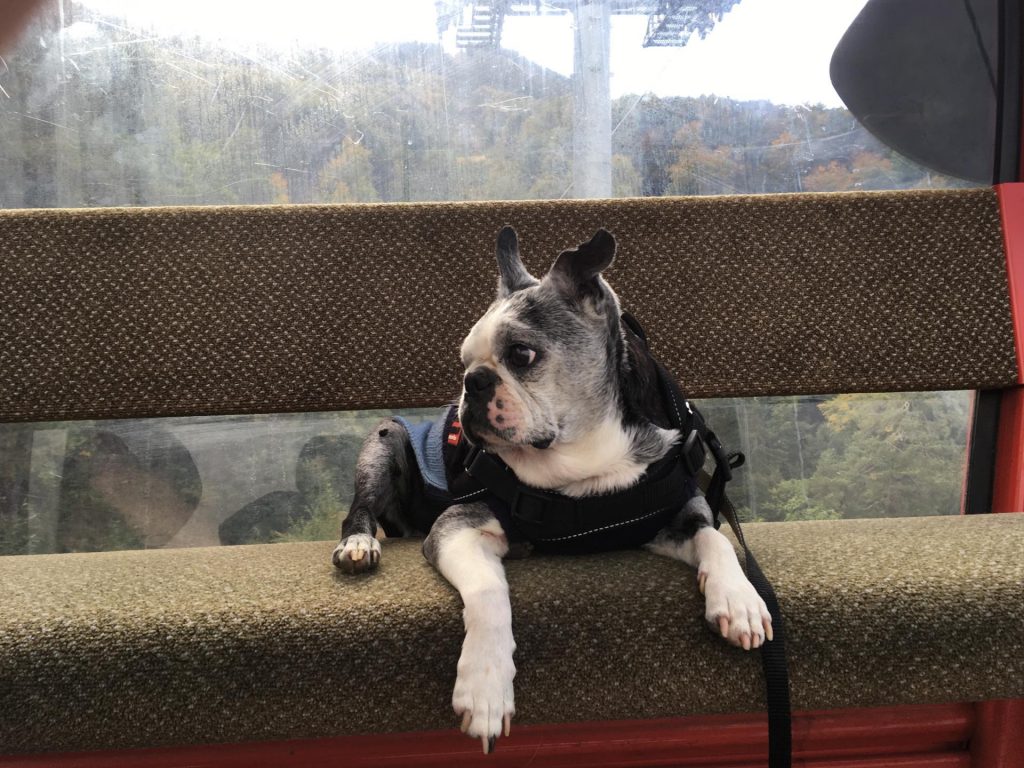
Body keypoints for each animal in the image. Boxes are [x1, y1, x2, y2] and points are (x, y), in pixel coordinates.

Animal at [331, 227, 772, 753]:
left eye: (522, 354)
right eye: (463, 360)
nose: (472, 382)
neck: (582, 464)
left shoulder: (676, 514)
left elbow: (715, 539)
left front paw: (739, 600)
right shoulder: (456, 525)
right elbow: (488, 592)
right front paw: (485, 685)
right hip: (387, 439)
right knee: (359, 508)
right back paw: (358, 544)